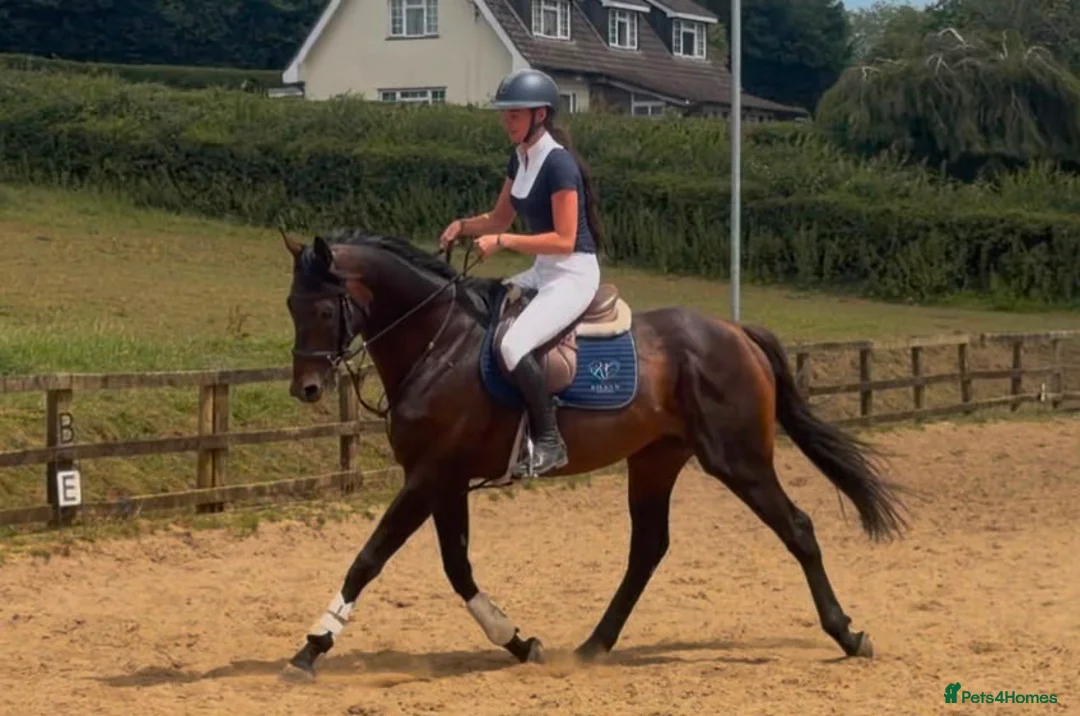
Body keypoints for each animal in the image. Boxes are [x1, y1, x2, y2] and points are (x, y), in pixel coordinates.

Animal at [279, 227, 909, 682]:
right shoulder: (445, 481)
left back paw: (848, 634)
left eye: (326, 309)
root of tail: (735, 332)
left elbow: (369, 559)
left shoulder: (430, 476)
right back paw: (592, 645)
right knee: (647, 549)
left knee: (797, 528)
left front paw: (312, 646)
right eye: (290, 305)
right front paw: (518, 641)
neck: (441, 343)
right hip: (655, 460)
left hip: (739, 461)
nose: (305, 389)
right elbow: (457, 568)